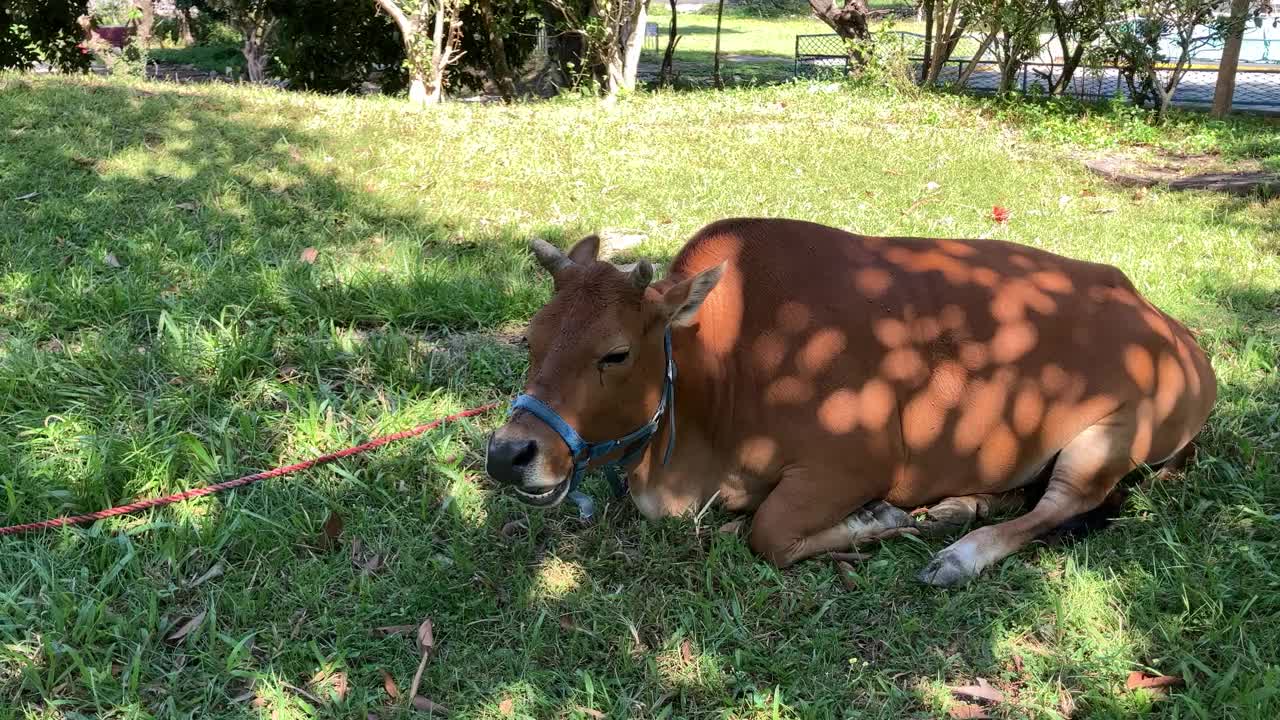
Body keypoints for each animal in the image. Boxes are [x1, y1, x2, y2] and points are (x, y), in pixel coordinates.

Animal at [483, 217, 1213, 584]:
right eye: (531, 337)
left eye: (615, 353)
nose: (508, 454)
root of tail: (1174, 329)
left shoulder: (853, 464)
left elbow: (768, 534)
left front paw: (877, 521)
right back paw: (963, 505)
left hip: (1107, 437)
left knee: (1061, 506)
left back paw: (960, 553)